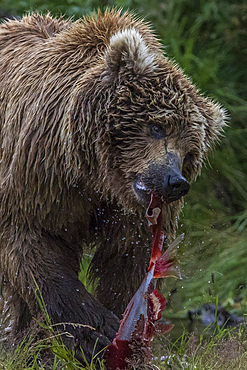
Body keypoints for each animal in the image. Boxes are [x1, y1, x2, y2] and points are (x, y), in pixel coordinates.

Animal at [0, 10, 225, 362]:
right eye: (157, 127)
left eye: (190, 152)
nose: (174, 182)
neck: (95, 175)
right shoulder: (40, 176)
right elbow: (36, 247)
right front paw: (97, 332)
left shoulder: (127, 215)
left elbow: (126, 264)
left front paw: (127, 336)